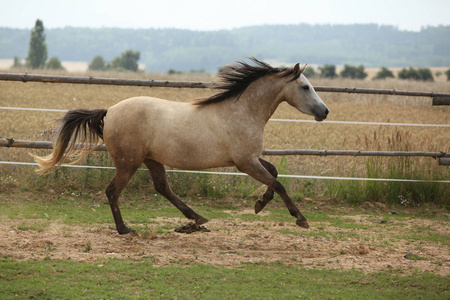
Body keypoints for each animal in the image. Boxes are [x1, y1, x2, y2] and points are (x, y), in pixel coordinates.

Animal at [30, 58, 326, 234]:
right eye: (305, 87)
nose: (325, 111)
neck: (242, 111)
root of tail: (109, 111)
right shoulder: (245, 162)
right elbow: (278, 182)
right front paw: (300, 218)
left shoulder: (249, 158)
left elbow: (274, 172)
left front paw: (259, 204)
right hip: (128, 162)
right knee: (113, 191)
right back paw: (125, 229)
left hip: (151, 159)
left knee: (162, 188)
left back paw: (197, 218)